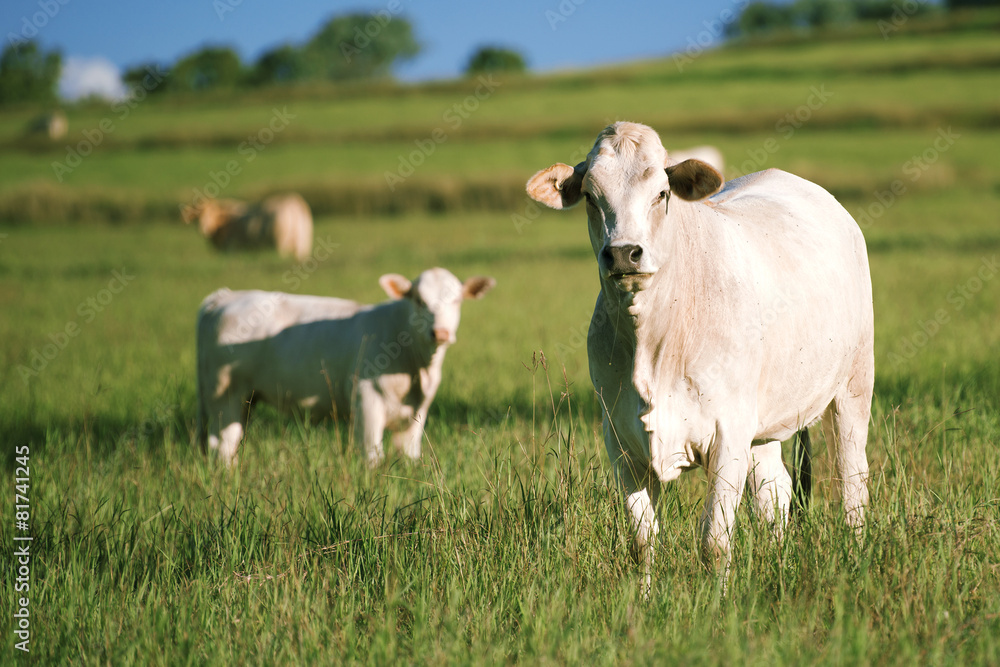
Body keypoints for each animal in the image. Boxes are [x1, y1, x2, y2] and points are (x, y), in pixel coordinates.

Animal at [183, 192, 312, 262]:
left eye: (210, 214)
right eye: (196, 217)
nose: (202, 229)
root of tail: (292, 200)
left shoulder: (230, 248)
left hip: (281, 247)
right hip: (302, 247)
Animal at [195, 268, 496, 468]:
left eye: (457, 300)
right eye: (419, 300)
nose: (441, 333)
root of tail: (225, 297)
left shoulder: (417, 412)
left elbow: (409, 456)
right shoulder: (367, 400)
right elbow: (373, 455)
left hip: (244, 399)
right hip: (224, 396)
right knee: (223, 445)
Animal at [528, 122, 872, 592]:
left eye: (661, 193)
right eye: (591, 197)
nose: (623, 253)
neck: (653, 346)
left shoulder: (727, 437)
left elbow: (715, 542)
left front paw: (717, 602)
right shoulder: (621, 444)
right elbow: (642, 543)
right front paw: (643, 600)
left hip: (853, 388)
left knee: (853, 487)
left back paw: (855, 558)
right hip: (762, 428)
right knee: (776, 495)